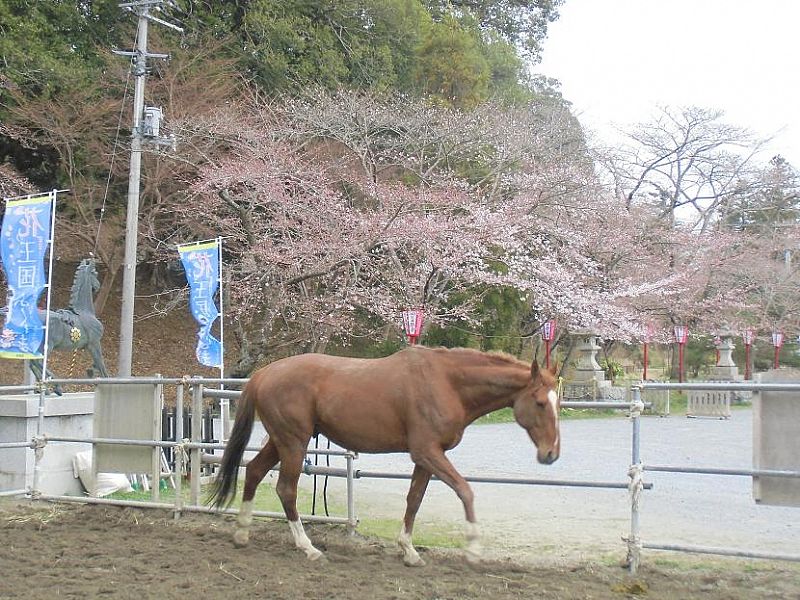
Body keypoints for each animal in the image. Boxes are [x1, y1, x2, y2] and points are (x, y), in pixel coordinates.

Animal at [209, 344, 560, 564]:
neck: (447, 383)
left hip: (281, 441)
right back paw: (308, 548)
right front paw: (473, 549)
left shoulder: (426, 457)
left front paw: (408, 551)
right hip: (294, 443)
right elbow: (465, 491)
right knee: (286, 490)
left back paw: (241, 534)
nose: (551, 454)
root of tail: (263, 374)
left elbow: (414, 499)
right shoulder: (428, 452)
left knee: (254, 471)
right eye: (541, 403)